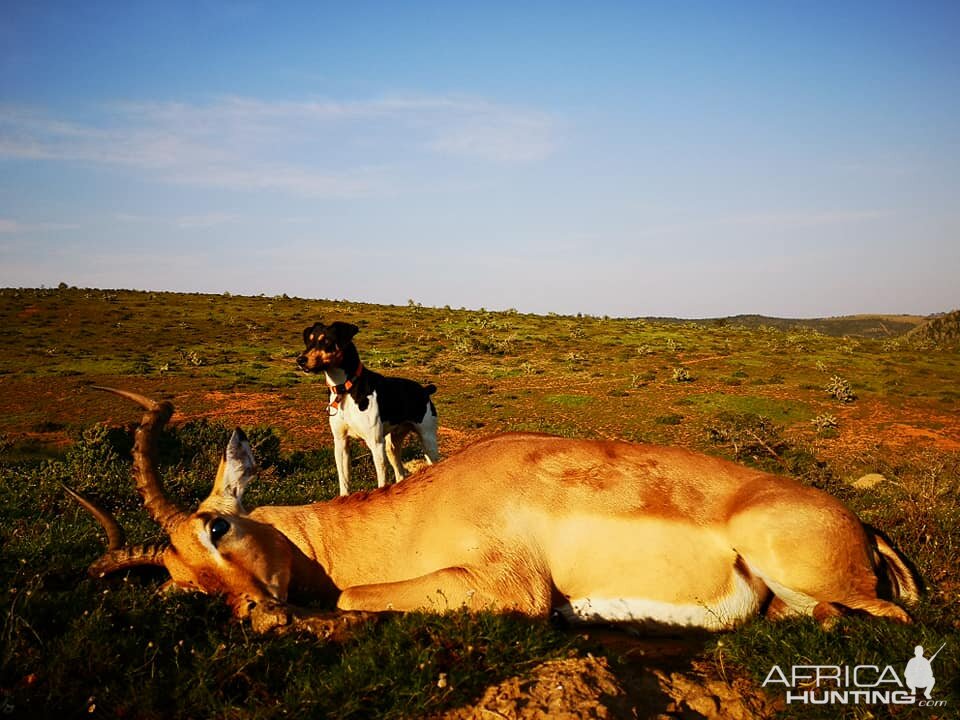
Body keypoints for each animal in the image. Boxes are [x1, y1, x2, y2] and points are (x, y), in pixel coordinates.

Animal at [294, 320, 440, 496]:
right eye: (308, 341)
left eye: (326, 341)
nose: (300, 360)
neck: (346, 389)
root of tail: (425, 390)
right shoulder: (341, 443)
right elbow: (344, 482)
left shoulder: (375, 444)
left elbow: (382, 483)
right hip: (392, 445)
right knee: (400, 474)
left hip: (427, 439)